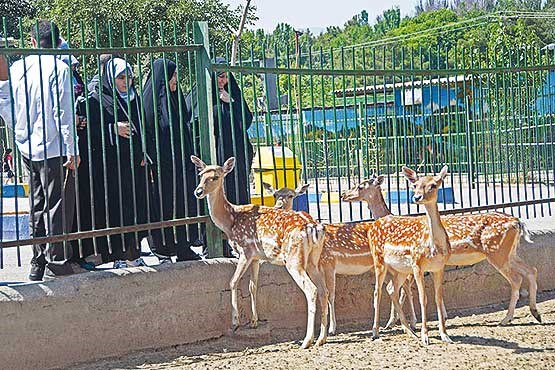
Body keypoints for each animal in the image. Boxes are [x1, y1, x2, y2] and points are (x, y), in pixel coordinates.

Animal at [192, 155, 330, 348]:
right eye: (200, 175)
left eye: (215, 177)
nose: (198, 191)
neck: (230, 221)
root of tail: (314, 227)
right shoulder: (257, 257)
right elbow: (253, 285)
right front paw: (254, 322)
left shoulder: (245, 250)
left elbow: (233, 282)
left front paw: (235, 322)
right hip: (313, 261)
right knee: (324, 290)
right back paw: (321, 338)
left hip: (294, 260)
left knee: (312, 290)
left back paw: (307, 340)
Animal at [346, 173, 540, 326]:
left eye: (360, 185)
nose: (344, 194)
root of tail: (518, 222)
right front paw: (440, 317)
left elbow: (404, 290)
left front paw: (399, 322)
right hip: (510, 252)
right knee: (531, 270)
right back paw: (535, 313)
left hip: (497, 252)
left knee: (516, 278)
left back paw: (506, 318)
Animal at [370, 166, 452, 346]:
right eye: (415, 185)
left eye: (434, 185)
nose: (416, 197)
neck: (434, 247)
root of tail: (373, 225)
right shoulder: (417, 265)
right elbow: (423, 298)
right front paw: (425, 337)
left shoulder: (440, 267)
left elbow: (438, 297)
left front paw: (445, 335)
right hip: (379, 260)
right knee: (377, 292)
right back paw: (376, 332)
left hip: (401, 270)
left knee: (391, 289)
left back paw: (408, 330)